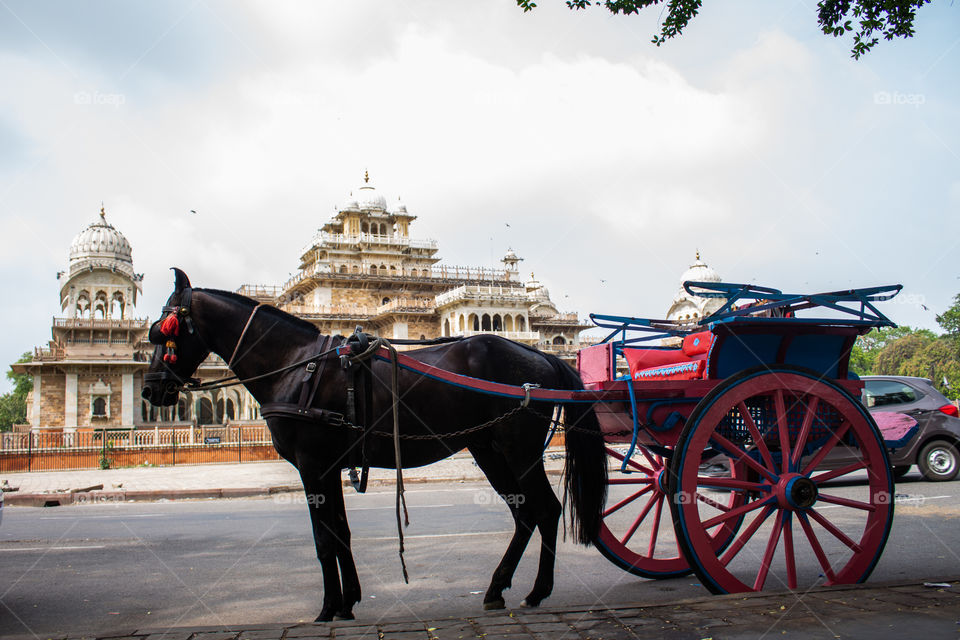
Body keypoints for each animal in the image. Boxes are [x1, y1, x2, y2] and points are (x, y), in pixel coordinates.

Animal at [141, 268, 608, 624]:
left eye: (164, 331)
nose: (151, 390)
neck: (294, 364)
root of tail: (546, 357)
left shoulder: (312, 463)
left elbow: (323, 539)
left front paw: (327, 609)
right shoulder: (328, 465)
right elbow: (341, 533)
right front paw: (347, 603)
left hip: (519, 447)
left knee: (546, 509)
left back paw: (537, 591)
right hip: (488, 447)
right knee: (524, 512)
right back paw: (498, 589)